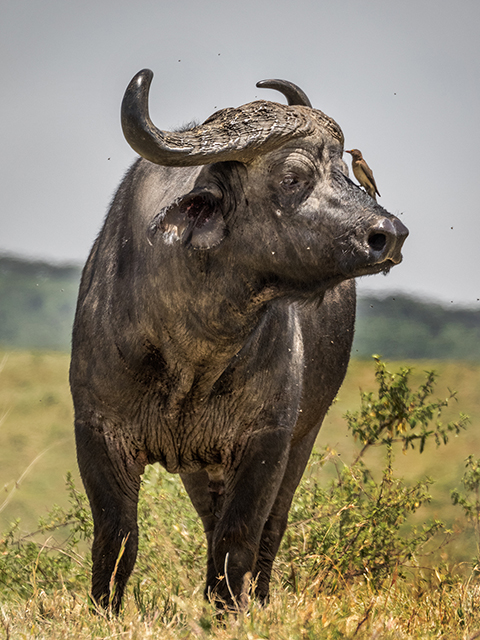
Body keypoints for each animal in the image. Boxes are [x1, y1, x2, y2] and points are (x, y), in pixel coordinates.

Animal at [70, 69, 408, 608]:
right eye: (291, 178)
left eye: (344, 170)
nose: (389, 234)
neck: (193, 350)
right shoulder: (98, 432)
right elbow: (117, 537)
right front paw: (106, 611)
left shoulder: (266, 439)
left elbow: (241, 537)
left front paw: (231, 609)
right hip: (199, 465)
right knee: (210, 524)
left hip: (303, 436)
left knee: (270, 527)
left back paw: (257, 599)